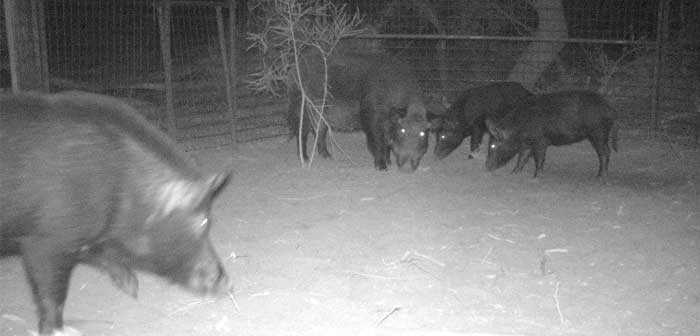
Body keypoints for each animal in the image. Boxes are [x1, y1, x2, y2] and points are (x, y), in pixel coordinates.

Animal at [0, 90, 230, 334]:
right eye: (203, 222)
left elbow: (98, 253)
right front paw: (59, 330)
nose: (227, 283)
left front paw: (132, 288)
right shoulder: (43, 240)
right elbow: (52, 294)